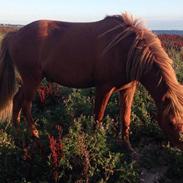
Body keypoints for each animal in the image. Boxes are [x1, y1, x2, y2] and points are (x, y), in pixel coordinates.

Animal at [0, 11, 183, 152]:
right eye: (171, 122)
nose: (180, 147)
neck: (125, 49)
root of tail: (14, 35)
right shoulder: (104, 88)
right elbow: (98, 117)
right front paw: (95, 143)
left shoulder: (128, 89)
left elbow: (125, 118)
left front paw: (128, 148)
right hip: (33, 79)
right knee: (26, 104)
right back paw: (34, 134)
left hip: (29, 80)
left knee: (17, 99)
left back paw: (17, 131)